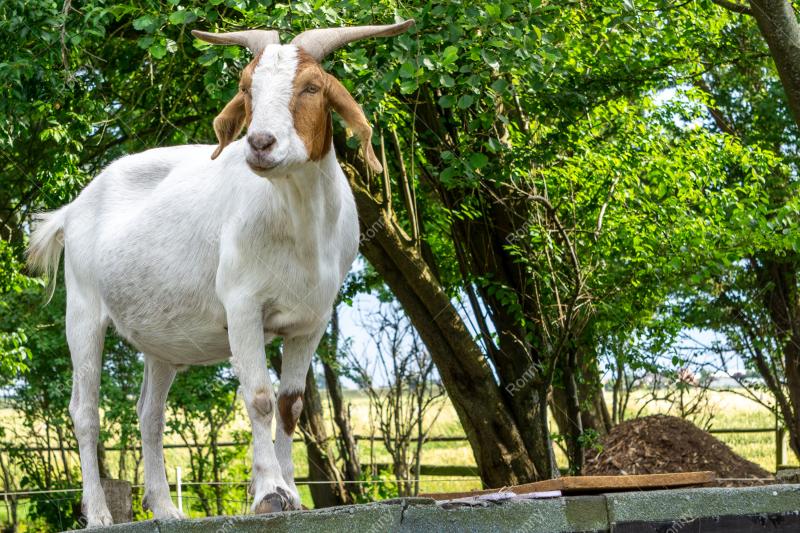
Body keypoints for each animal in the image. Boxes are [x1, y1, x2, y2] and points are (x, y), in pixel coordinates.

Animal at [26, 19, 413, 527]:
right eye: (247, 88)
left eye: (311, 87)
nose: (261, 143)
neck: (299, 225)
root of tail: (73, 208)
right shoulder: (243, 305)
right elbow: (260, 397)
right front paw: (269, 494)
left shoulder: (311, 321)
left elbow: (290, 406)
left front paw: (293, 493)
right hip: (83, 310)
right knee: (85, 411)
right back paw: (100, 515)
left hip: (161, 340)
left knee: (149, 414)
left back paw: (167, 509)